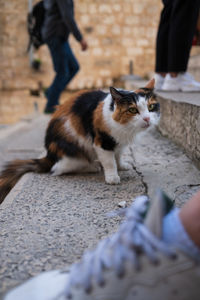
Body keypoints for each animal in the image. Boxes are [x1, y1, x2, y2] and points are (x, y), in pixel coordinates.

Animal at [0, 78, 159, 204]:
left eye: (151, 107)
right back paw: (92, 167)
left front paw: (121, 166)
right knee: (59, 168)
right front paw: (112, 176)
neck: (125, 128)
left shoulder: (119, 142)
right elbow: (109, 161)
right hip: (75, 145)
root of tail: (49, 155)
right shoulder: (102, 141)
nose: (147, 119)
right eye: (133, 110)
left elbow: (118, 155)